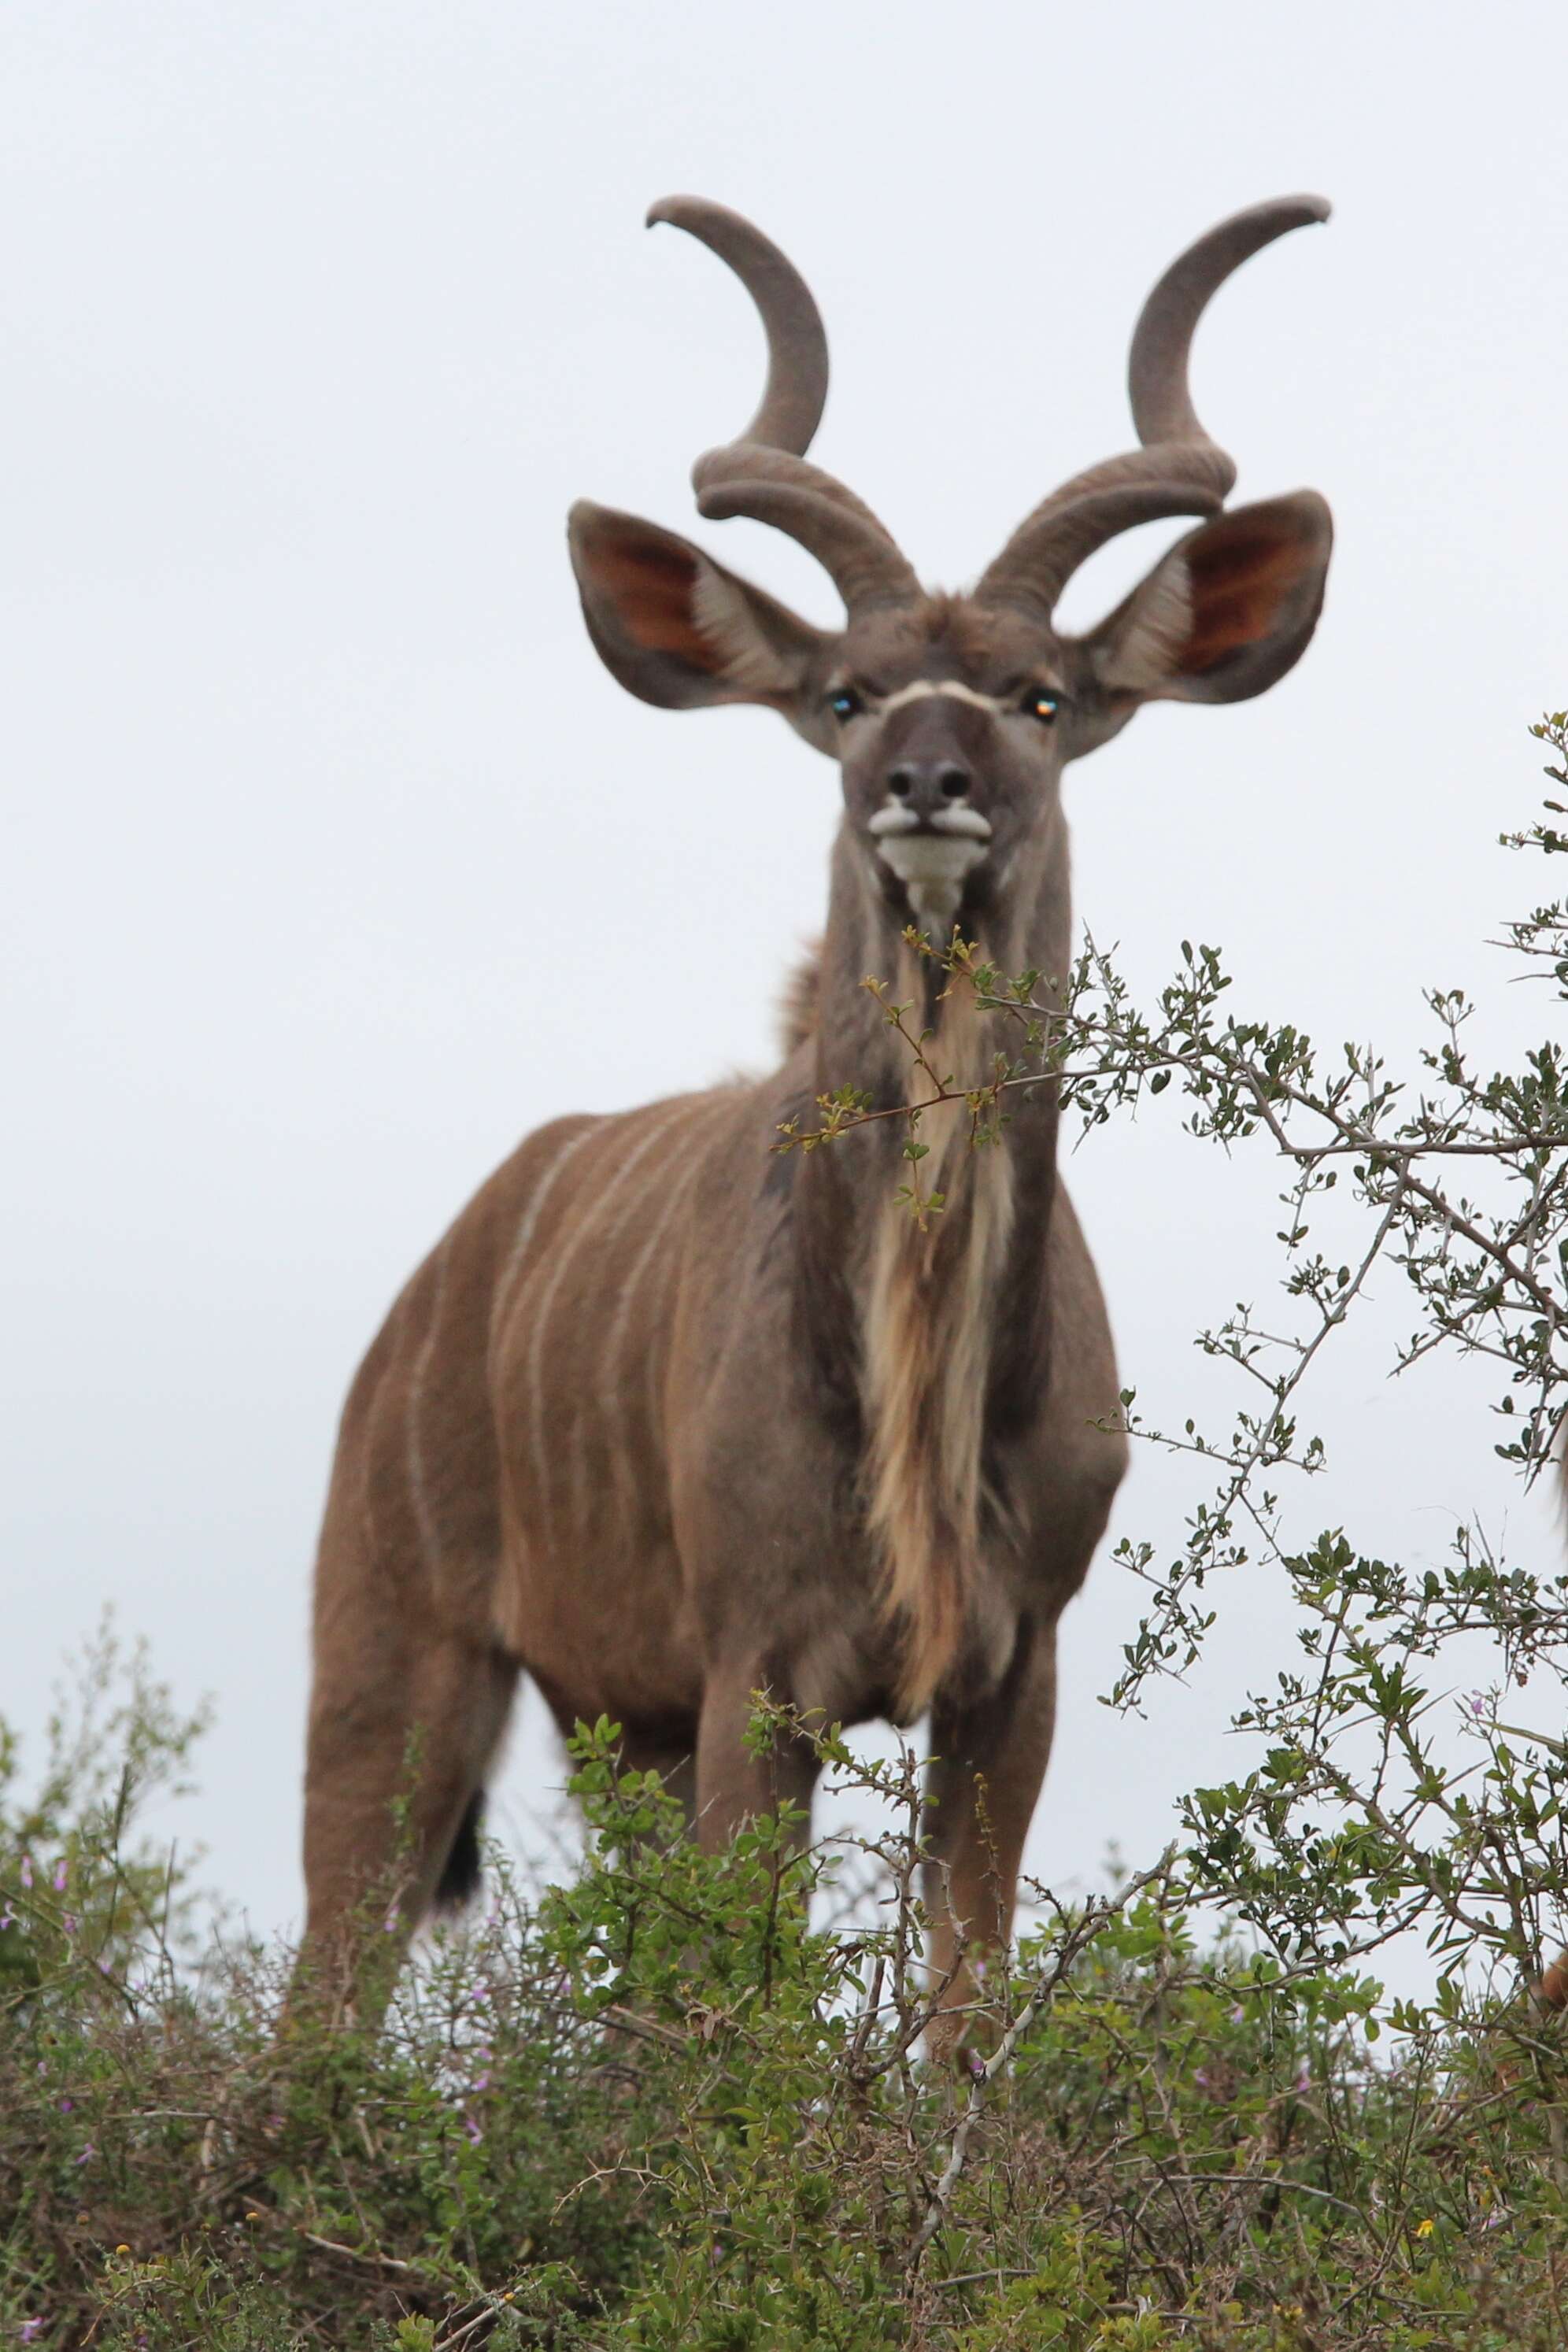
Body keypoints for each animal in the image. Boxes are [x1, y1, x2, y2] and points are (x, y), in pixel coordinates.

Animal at [297, 193, 1335, 2032]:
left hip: (616, 1720)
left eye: (1039, 696)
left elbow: (959, 2011)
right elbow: (754, 2023)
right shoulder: (757, 1675)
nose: (928, 782)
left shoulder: (1010, 1674)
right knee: (316, 2005)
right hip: (403, 1667)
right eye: (846, 695)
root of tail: (447, 1268)